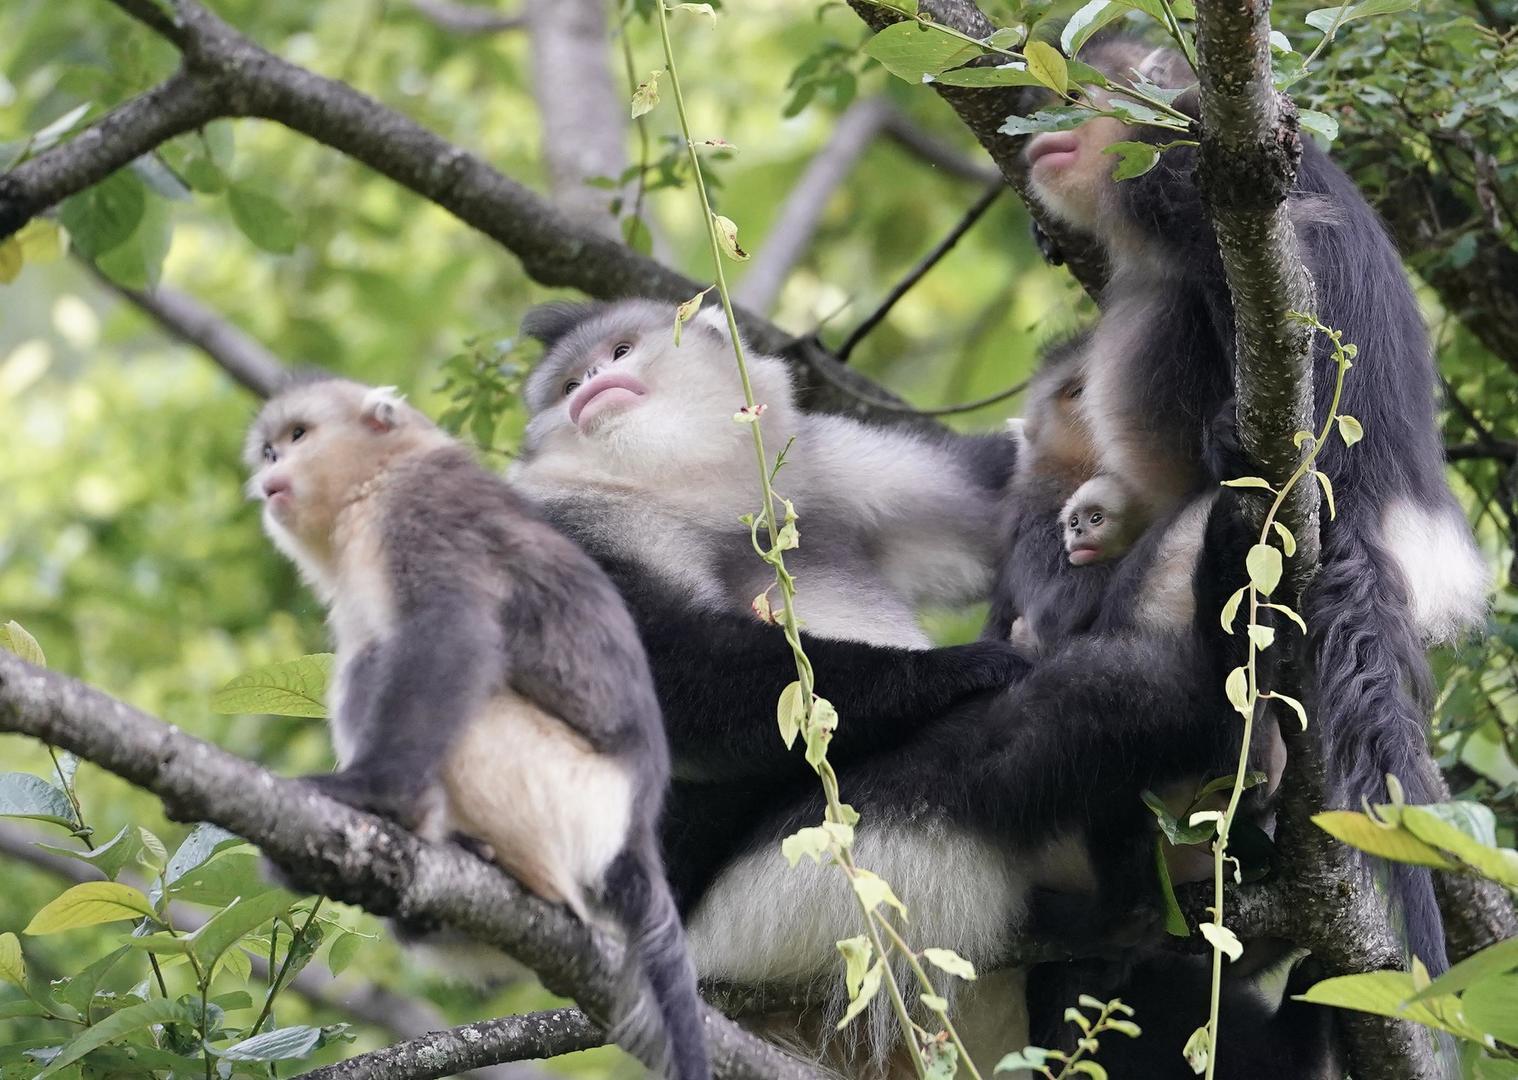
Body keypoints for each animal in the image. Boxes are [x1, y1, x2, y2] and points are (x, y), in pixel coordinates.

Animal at [245, 378, 713, 1080]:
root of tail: (634, 834)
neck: (379, 477)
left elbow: (453, 633)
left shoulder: (421, 516)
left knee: (390, 665)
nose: (271, 473)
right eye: (271, 449)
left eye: (299, 437)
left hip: (567, 795)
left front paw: (374, 795)